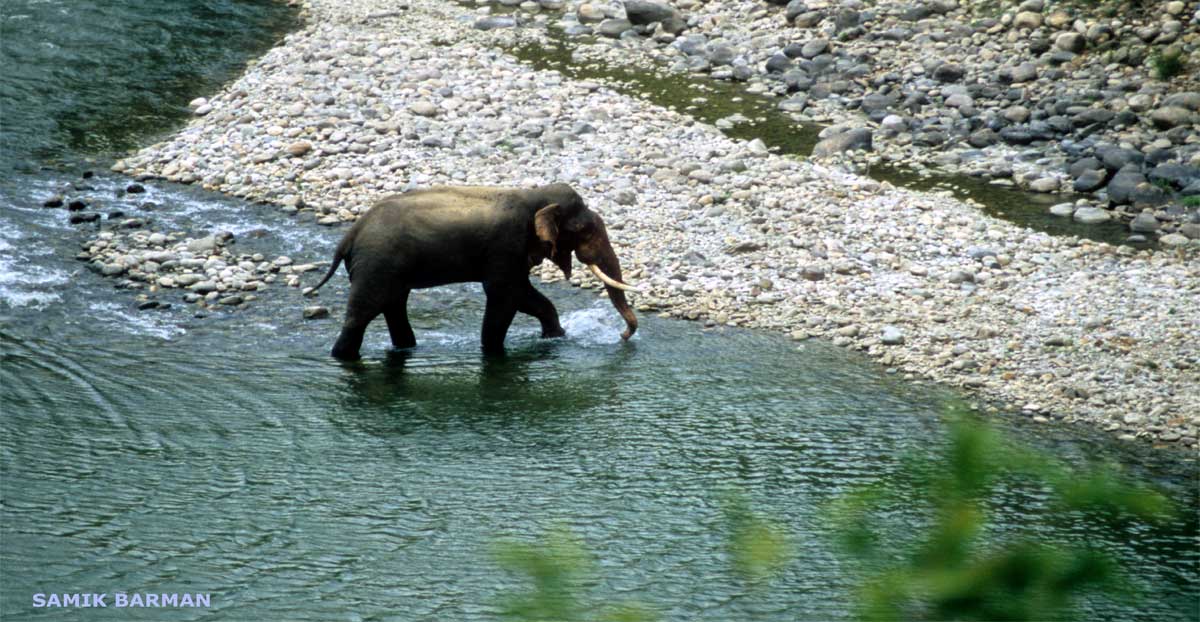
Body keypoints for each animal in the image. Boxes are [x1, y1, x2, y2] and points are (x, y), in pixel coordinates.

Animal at [307, 183, 638, 360]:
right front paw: (492, 353)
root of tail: (350, 235)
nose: (622, 336)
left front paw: (555, 337)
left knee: (394, 305)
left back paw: (407, 348)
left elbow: (526, 296)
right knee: (363, 312)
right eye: (584, 230)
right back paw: (343, 358)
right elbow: (506, 295)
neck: (533, 195)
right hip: (377, 265)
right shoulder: (505, 246)